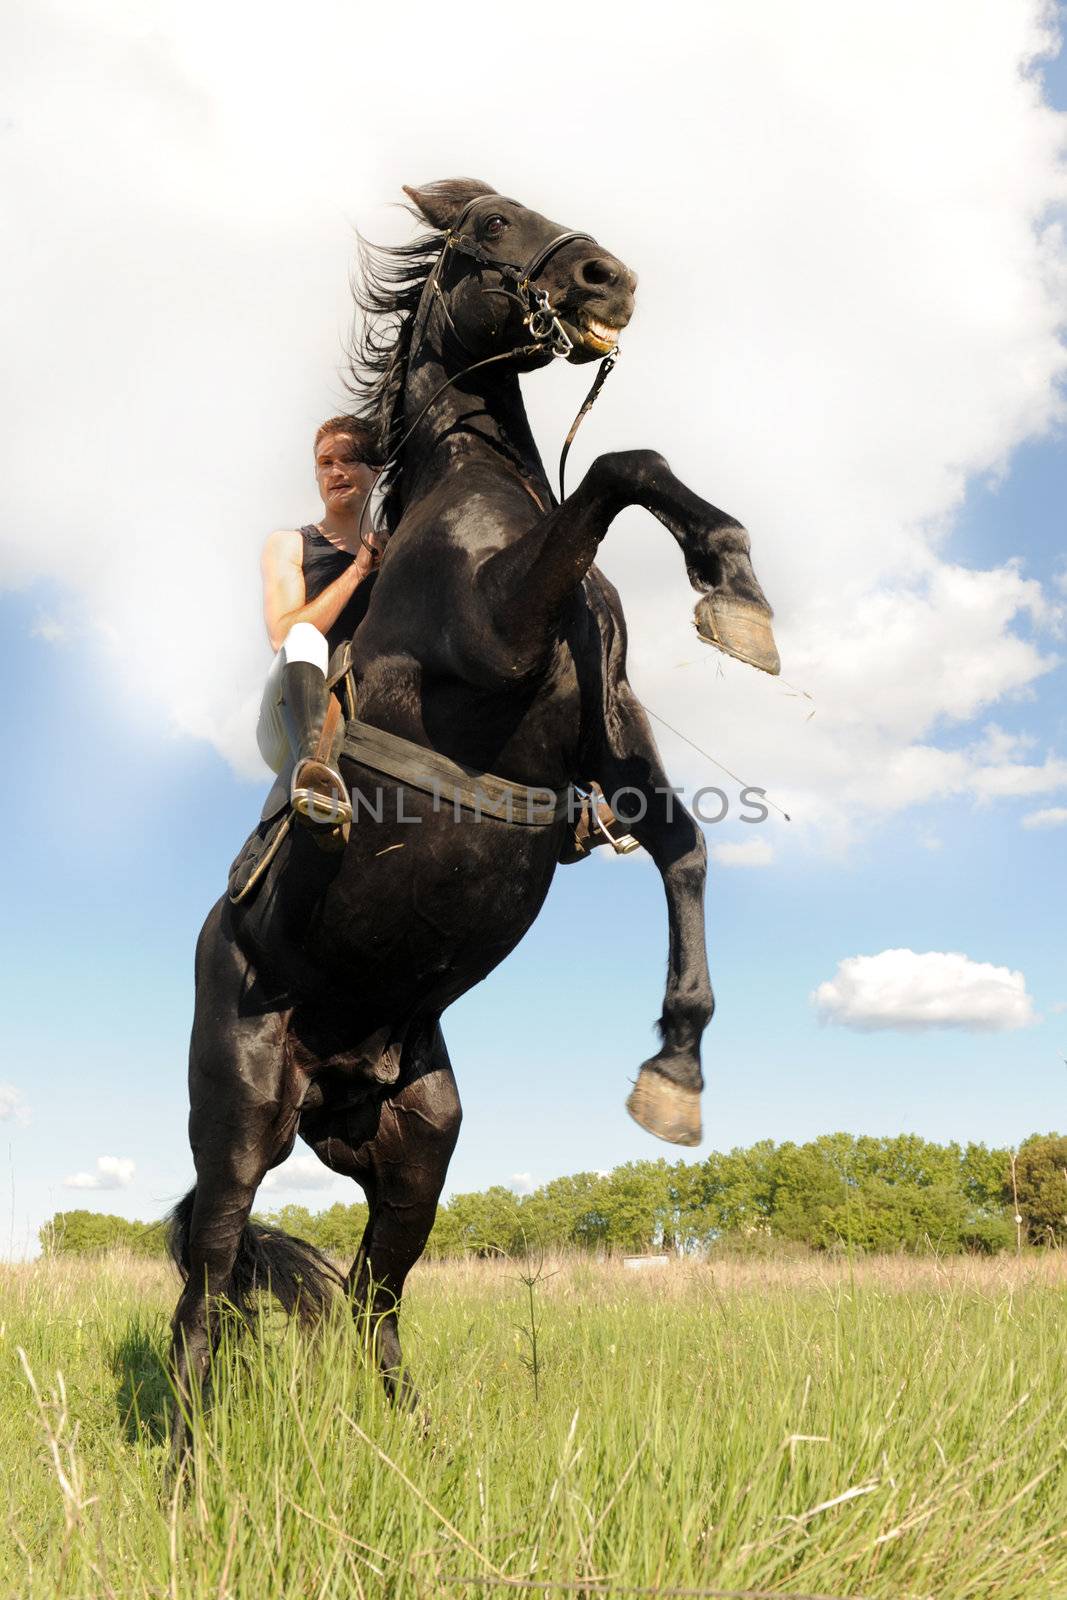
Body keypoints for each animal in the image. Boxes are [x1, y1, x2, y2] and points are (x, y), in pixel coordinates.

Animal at [171, 178, 780, 1452]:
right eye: (493, 224)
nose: (607, 277)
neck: (474, 499)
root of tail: (329, 1086)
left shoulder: (606, 753)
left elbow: (684, 845)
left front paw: (675, 1069)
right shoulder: (496, 636)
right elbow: (618, 463)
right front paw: (730, 585)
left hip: (417, 1151)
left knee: (371, 1298)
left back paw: (409, 1448)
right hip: (239, 1129)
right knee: (201, 1299)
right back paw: (187, 1475)